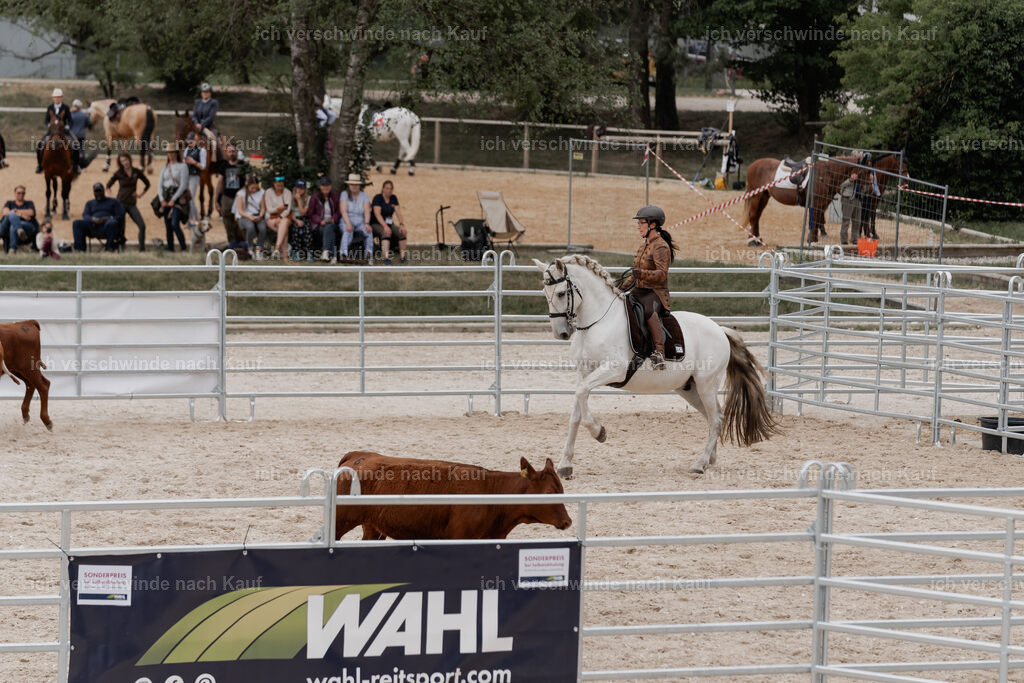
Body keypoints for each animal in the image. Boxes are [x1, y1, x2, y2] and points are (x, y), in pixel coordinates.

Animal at [534, 255, 779, 477]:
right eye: (545, 294)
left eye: (561, 293)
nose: (561, 333)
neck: (599, 321)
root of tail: (720, 329)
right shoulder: (583, 372)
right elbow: (576, 410)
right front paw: (565, 465)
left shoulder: (614, 369)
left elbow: (583, 394)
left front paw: (599, 432)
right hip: (689, 389)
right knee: (713, 417)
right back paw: (710, 459)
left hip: (706, 385)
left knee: (717, 419)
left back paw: (699, 464)